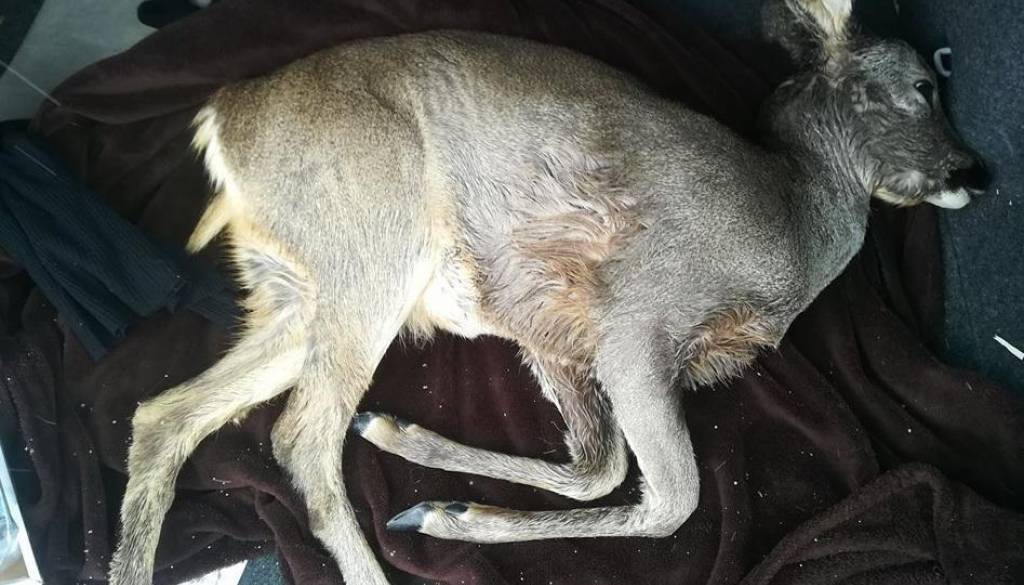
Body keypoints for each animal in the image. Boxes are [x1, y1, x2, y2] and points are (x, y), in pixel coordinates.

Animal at [108, 1, 983, 583]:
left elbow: (597, 462)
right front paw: (444, 511)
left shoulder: (556, 330)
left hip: (300, 290)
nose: (972, 170)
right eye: (920, 84)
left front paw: (421, 469)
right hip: (373, 247)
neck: (794, 218)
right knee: (298, 436)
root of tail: (221, 118)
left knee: (165, 413)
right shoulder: (636, 320)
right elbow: (672, 496)